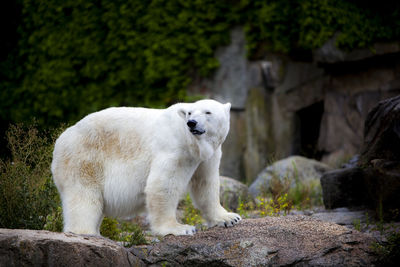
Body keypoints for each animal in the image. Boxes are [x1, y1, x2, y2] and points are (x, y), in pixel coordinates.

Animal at [51, 99, 242, 236]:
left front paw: (229, 218)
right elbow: (163, 184)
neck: (191, 143)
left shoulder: (207, 157)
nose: (192, 123)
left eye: (208, 112)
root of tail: (61, 139)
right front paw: (180, 228)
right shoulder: (173, 148)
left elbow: (205, 184)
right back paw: (85, 232)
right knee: (84, 197)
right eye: (190, 112)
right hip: (84, 158)